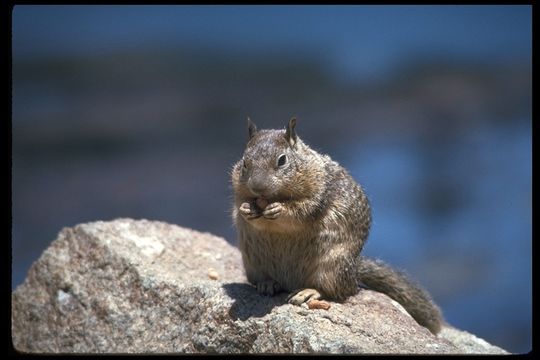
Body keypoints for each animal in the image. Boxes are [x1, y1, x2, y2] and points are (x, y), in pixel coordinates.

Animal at [231, 116, 442, 334]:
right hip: (253, 263)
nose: (257, 187)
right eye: (245, 162)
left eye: (282, 160)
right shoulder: (238, 187)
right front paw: (247, 209)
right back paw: (267, 283)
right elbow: (241, 202)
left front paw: (278, 209)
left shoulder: (319, 193)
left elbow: (302, 210)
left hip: (332, 267)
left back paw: (308, 292)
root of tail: (355, 272)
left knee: (337, 292)